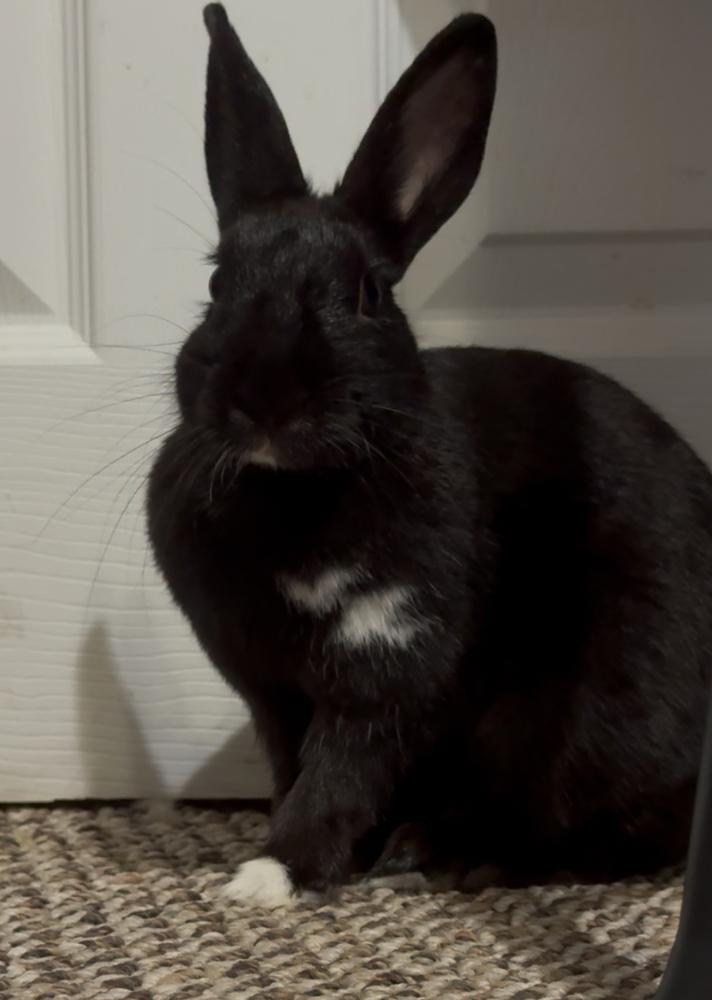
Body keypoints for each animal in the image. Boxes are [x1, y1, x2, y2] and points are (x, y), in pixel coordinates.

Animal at [147, 3, 712, 907]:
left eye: (369, 293)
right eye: (214, 284)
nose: (265, 398)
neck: (298, 497)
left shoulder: (395, 659)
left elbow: (341, 775)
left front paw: (272, 875)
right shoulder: (274, 691)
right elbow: (298, 767)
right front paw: (307, 864)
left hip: (597, 732)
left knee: (621, 840)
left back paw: (457, 858)